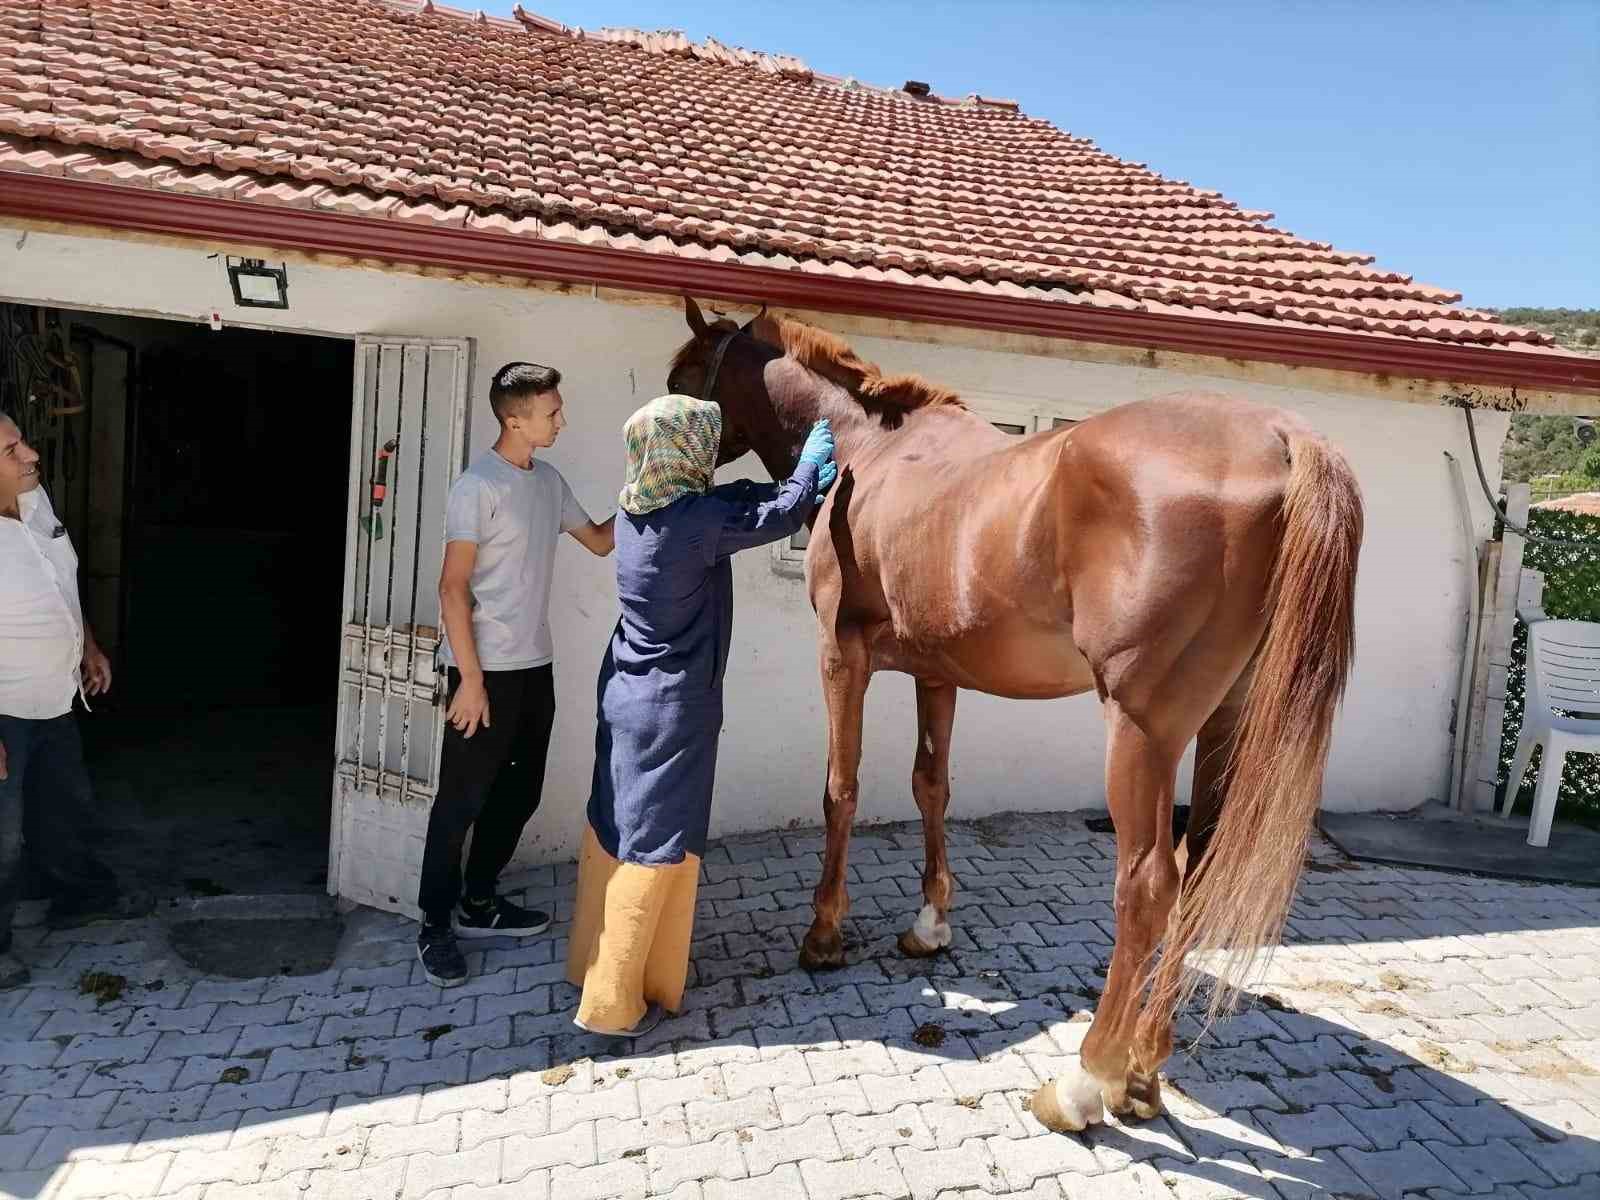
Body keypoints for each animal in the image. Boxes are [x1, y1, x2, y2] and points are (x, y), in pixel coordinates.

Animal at [665, 296, 1363, 1132]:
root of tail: (1283, 438)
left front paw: (824, 933)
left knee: (1147, 885)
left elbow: (842, 787)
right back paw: (1143, 1074)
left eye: (683, 377)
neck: (871, 450)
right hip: (1226, 719)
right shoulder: (936, 674)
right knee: (1198, 871)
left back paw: (1085, 1082)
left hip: (1143, 729)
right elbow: (930, 785)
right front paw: (929, 925)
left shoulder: (841, 656)